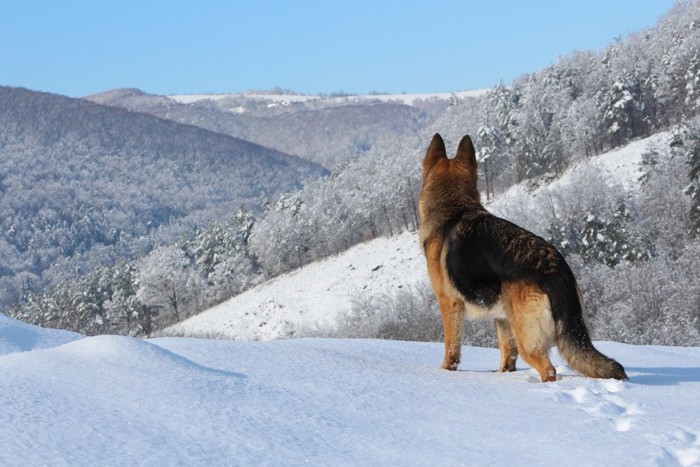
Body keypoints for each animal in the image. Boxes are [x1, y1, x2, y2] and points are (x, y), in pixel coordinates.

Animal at [418, 133, 628, 382]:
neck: (453, 207)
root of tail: (554, 269)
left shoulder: (450, 303)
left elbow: (451, 345)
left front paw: (446, 370)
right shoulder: (501, 318)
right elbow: (507, 353)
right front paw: (502, 374)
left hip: (527, 337)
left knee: (548, 369)